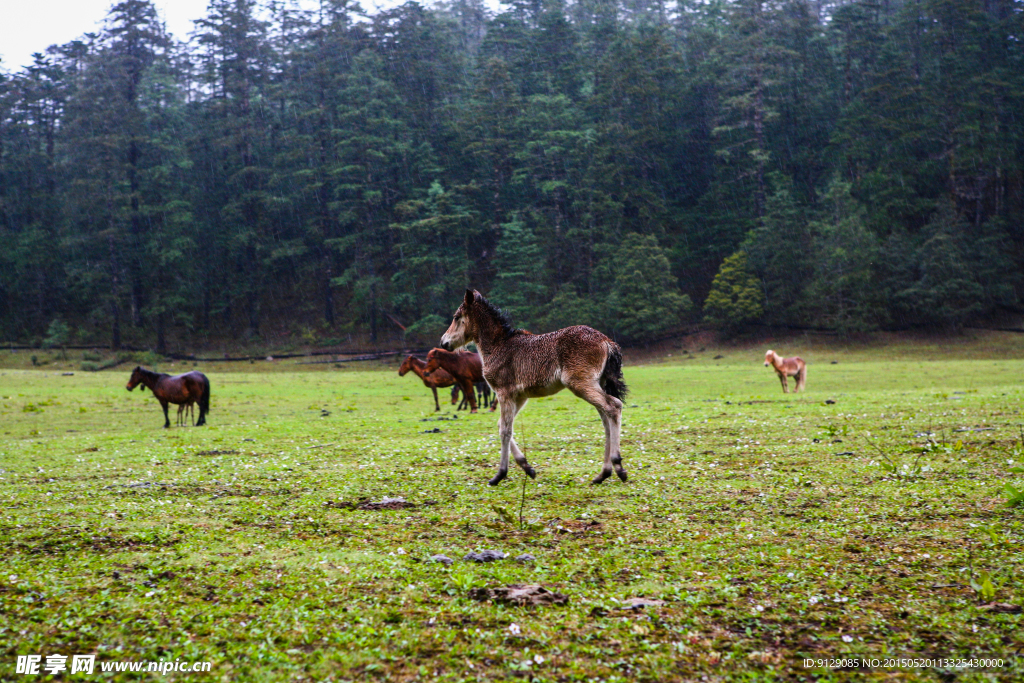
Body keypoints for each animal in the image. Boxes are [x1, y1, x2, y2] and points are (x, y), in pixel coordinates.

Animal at [438, 288, 626, 485]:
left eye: (457, 317)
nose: (443, 342)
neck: (498, 345)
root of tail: (607, 341)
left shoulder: (504, 393)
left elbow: (505, 430)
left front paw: (500, 474)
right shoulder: (520, 396)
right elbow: (502, 425)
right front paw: (527, 467)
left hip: (581, 384)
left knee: (614, 406)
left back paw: (618, 467)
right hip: (596, 384)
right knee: (606, 418)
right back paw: (603, 473)